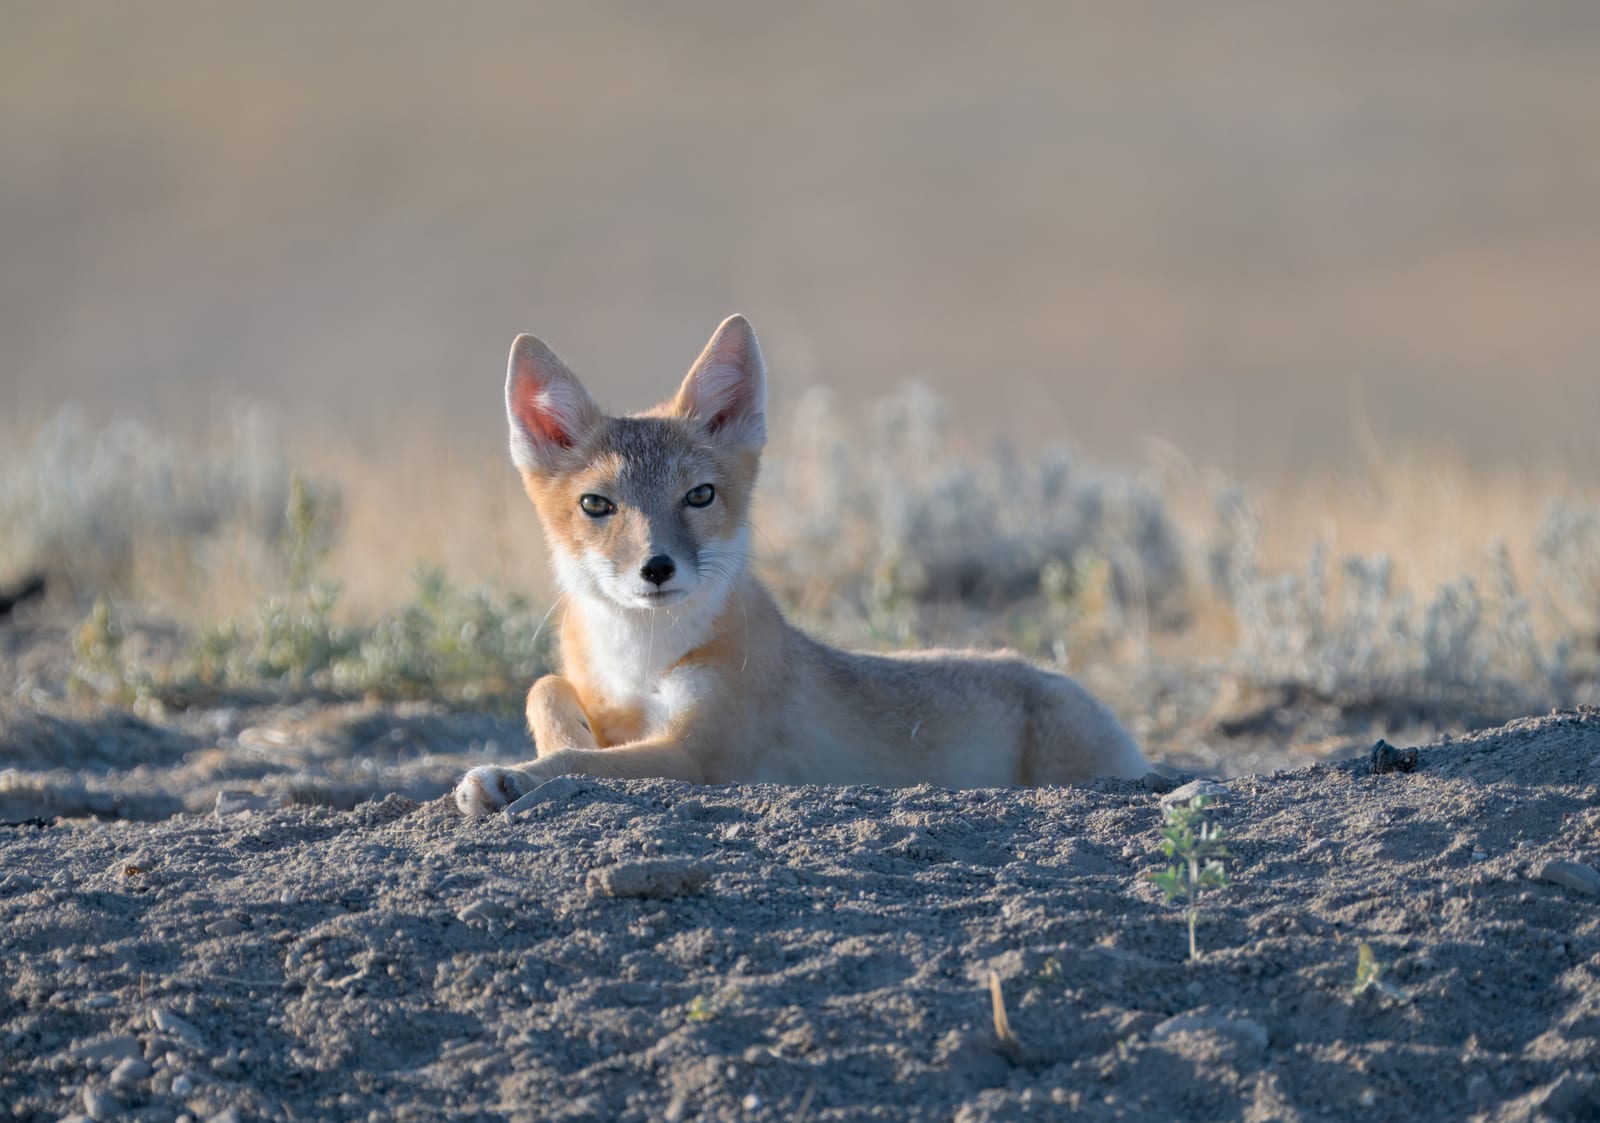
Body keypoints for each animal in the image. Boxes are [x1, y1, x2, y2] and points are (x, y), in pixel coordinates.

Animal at [453, 315, 1146, 815]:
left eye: (698, 496)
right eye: (597, 505)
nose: (657, 568)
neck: (639, 656)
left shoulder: (699, 755)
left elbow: (586, 764)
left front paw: (511, 776)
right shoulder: (604, 697)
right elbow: (545, 689)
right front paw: (548, 748)